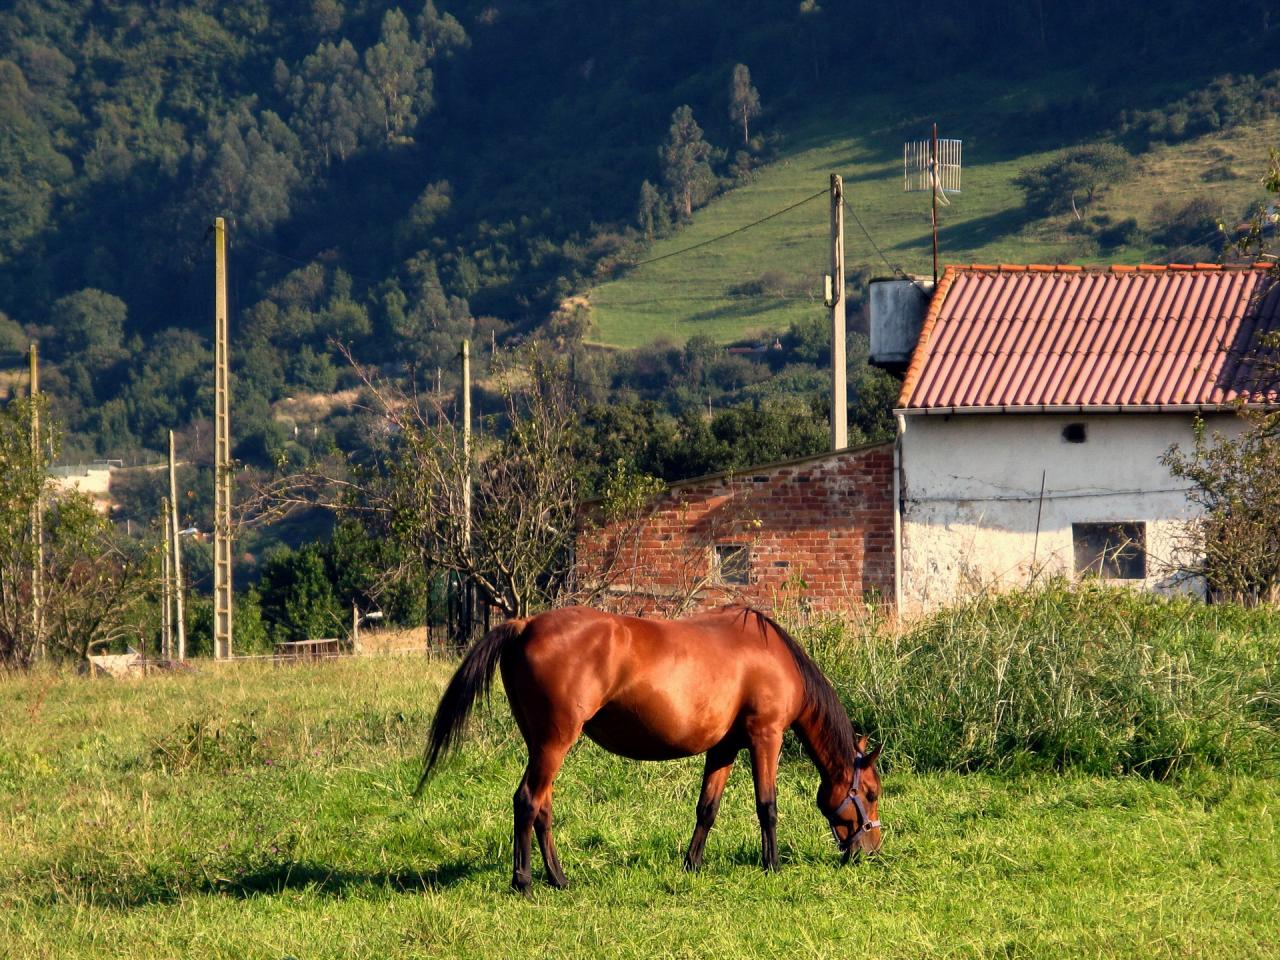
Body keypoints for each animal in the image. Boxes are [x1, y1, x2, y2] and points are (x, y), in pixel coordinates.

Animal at [414, 609, 885, 896]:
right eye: (871, 793)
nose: (871, 851)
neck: (771, 655)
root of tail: (524, 625)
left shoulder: (723, 748)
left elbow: (707, 809)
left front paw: (692, 864)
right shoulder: (764, 737)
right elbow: (767, 806)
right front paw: (772, 866)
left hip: (541, 745)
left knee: (542, 807)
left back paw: (559, 879)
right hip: (554, 743)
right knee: (528, 801)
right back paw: (524, 882)